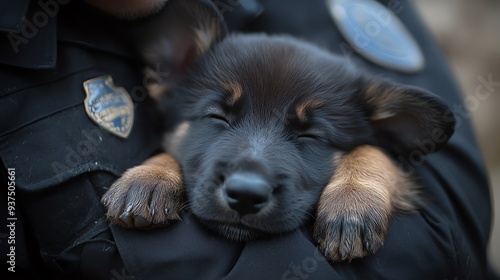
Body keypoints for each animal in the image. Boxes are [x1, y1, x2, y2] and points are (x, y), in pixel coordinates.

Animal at [100, 0, 454, 262]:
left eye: (311, 136)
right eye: (217, 117)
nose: (245, 196)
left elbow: (372, 150)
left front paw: (352, 200)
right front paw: (150, 177)